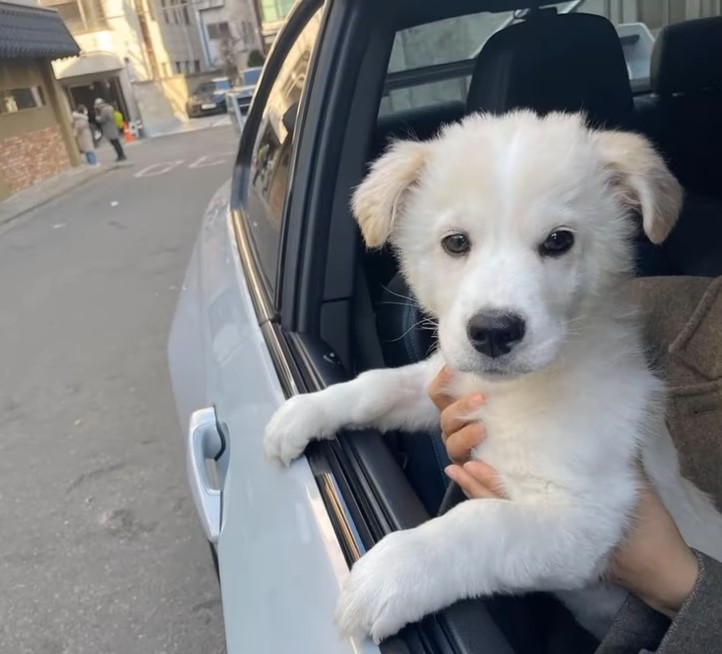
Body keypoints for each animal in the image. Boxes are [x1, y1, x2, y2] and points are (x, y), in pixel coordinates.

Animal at [262, 113, 720, 644]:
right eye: (456, 242)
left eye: (559, 241)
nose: (494, 332)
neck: (516, 392)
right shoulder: (449, 384)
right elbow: (378, 384)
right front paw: (306, 411)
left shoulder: (587, 515)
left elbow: (479, 523)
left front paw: (391, 574)